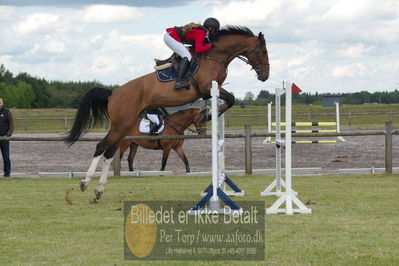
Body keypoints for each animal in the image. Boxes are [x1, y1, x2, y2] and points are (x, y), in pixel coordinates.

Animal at [67, 25, 270, 200]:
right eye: (264, 52)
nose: (265, 76)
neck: (214, 56)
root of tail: (113, 92)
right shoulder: (207, 87)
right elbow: (231, 99)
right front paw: (210, 113)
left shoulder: (211, 90)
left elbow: (230, 99)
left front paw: (209, 113)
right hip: (120, 125)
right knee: (101, 147)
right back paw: (85, 183)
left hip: (124, 128)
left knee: (109, 153)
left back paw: (99, 190)